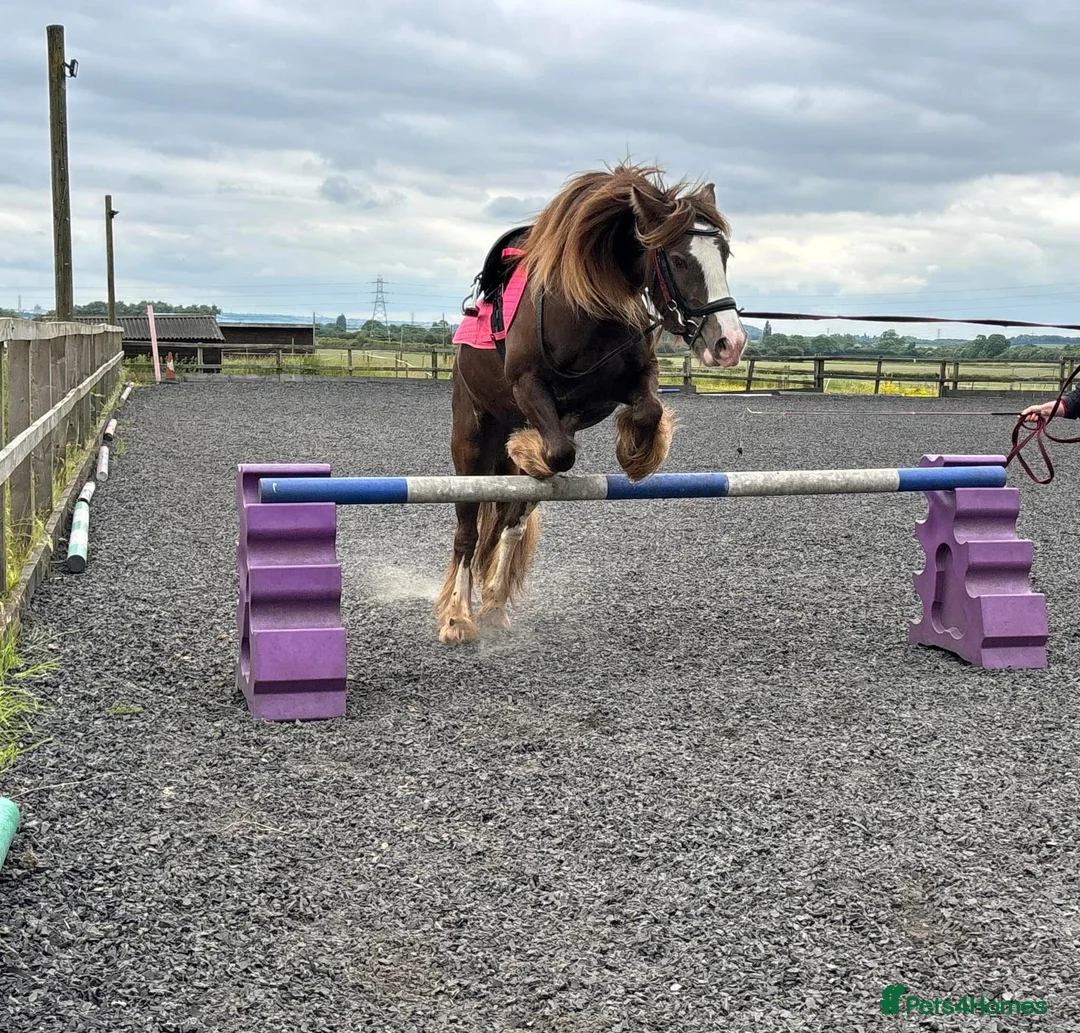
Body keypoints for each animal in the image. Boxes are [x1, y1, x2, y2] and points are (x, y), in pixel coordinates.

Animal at [436, 162, 748, 643]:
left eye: (725, 255)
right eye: (679, 259)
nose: (729, 343)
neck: (585, 309)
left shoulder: (631, 382)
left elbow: (647, 411)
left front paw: (636, 454)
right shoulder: (528, 387)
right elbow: (560, 452)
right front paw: (530, 450)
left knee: (509, 522)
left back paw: (493, 605)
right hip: (470, 438)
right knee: (468, 530)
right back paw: (457, 618)